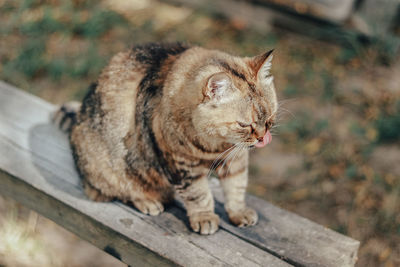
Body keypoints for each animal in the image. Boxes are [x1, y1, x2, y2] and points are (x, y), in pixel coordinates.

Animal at [54, 43, 278, 236]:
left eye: (269, 118)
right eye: (244, 124)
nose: (262, 138)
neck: (215, 144)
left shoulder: (235, 159)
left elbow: (236, 187)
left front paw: (239, 213)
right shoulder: (181, 165)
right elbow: (199, 195)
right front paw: (204, 217)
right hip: (108, 170)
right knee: (118, 191)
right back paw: (148, 202)